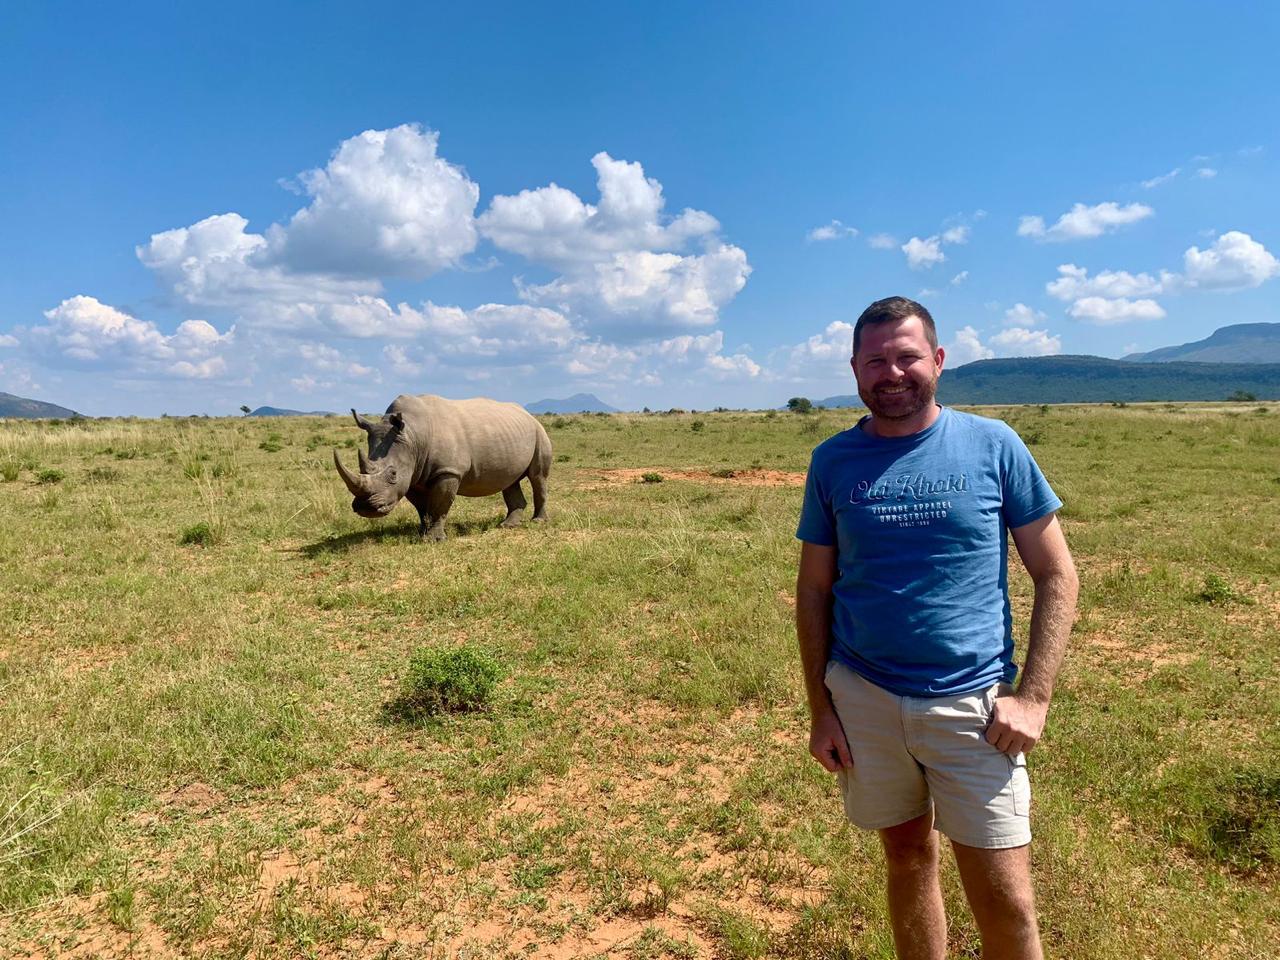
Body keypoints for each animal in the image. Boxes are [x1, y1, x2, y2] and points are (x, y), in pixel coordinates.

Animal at [334, 394, 551, 541]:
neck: (413, 435)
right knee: (510, 480)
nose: (365, 508)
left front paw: (433, 540)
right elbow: (422, 508)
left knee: (537, 477)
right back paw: (508, 525)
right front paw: (421, 533)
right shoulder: (413, 475)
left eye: (393, 474)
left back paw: (538, 522)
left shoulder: (448, 471)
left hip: (538, 431)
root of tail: (528, 414)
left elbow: (439, 504)